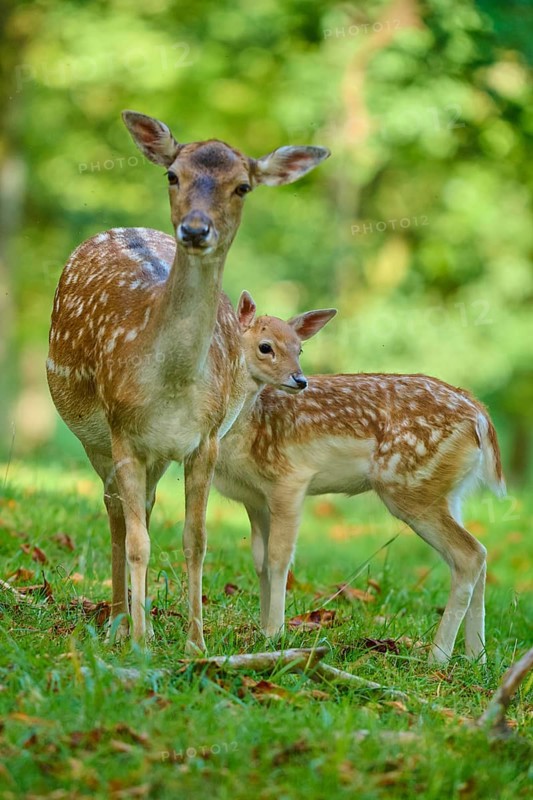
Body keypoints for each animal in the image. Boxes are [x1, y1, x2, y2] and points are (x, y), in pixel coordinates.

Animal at [46, 110, 330, 652]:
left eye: (243, 186)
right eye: (172, 175)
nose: (195, 229)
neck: (173, 386)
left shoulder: (205, 441)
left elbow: (195, 540)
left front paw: (195, 644)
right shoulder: (122, 431)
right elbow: (138, 541)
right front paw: (139, 643)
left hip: (157, 455)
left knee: (143, 507)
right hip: (94, 436)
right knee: (116, 513)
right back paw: (119, 621)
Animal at [215, 294, 506, 664]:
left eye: (299, 349)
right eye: (266, 347)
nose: (300, 380)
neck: (245, 429)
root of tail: (480, 416)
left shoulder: (290, 480)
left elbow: (279, 559)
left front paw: (273, 635)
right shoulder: (255, 499)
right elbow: (260, 561)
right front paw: (262, 631)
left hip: (408, 486)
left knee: (469, 555)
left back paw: (437, 657)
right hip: (448, 491)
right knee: (479, 554)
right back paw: (475, 657)